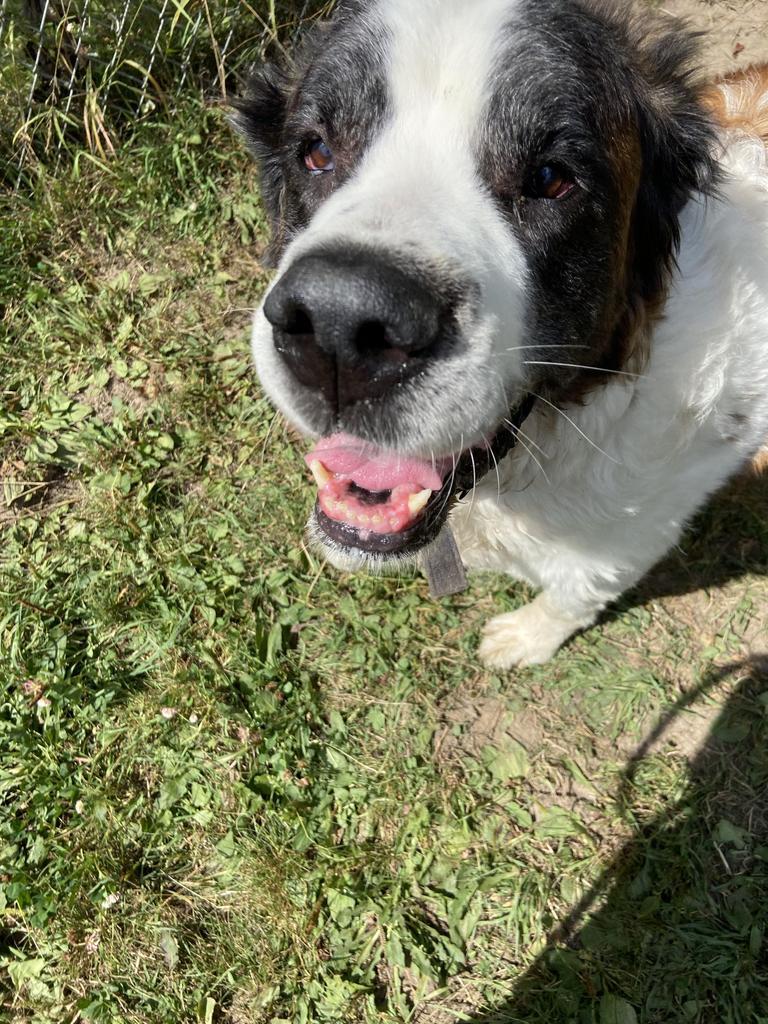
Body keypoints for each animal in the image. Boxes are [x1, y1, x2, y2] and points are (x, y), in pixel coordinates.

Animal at [230, 0, 768, 667]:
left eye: (551, 178)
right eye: (317, 152)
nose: (340, 321)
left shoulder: (632, 538)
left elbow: (575, 594)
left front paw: (526, 638)